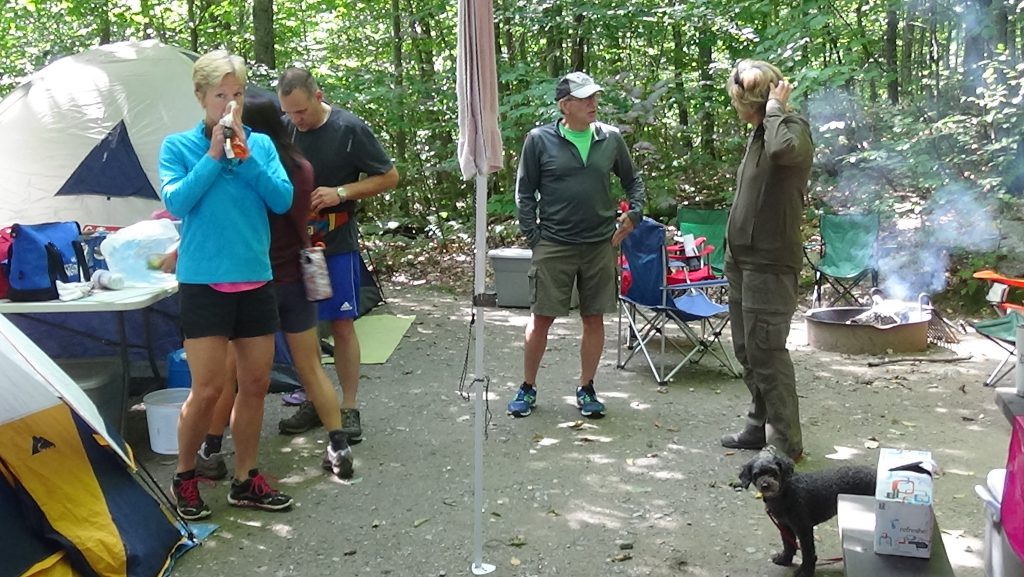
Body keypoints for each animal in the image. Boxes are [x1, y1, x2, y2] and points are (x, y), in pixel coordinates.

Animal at [741, 446, 876, 577]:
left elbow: (808, 552)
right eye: (756, 475)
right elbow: (788, 544)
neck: (786, 492)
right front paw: (785, 559)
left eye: (774, 472)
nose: (765, 485)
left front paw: (805, 571)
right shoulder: (784, 525)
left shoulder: (803, 528)